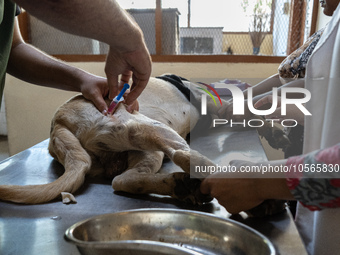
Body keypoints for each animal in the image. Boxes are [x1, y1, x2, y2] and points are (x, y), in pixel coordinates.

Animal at [0, 74, 286, 216]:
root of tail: (59, 123)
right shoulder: (223, 108)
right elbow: (248, 112)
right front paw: (273, 128)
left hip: (146, 149)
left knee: (123, 180)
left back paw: (178, 186)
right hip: (146, 128)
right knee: (186, 157)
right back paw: (255, 199)